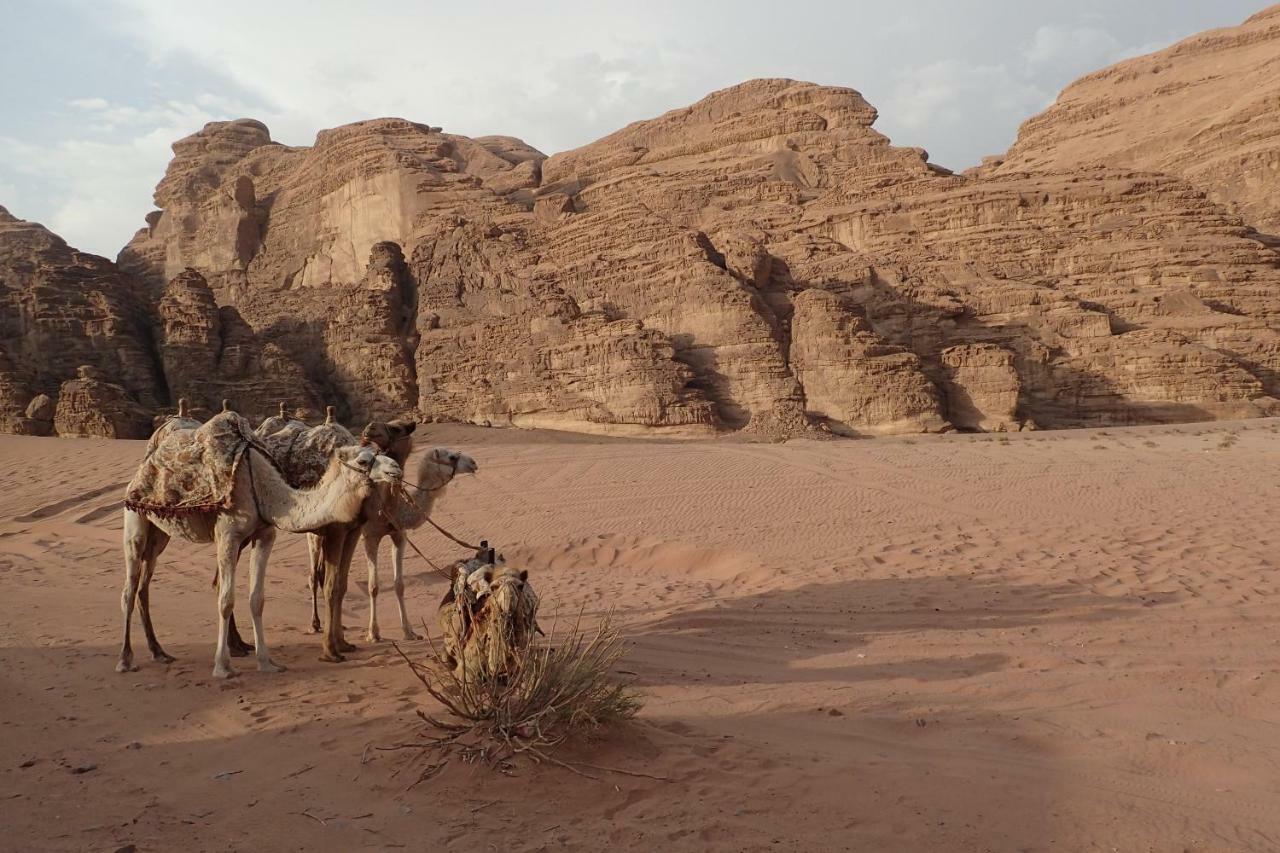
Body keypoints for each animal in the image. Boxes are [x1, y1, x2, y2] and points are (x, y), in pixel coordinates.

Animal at [120, 412, 401, 676]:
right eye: (363, 460)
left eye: (377, 452)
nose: (396, 470)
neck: (265, 491)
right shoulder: (228, 535)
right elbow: (226, 600)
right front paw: (222, 667)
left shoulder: (264, 535)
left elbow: (257, 599)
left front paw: (266, 662)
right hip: (134, 521)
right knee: (129, 589)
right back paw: (126, 660)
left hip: (159, 533)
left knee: (144, 586)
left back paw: (159, 652)